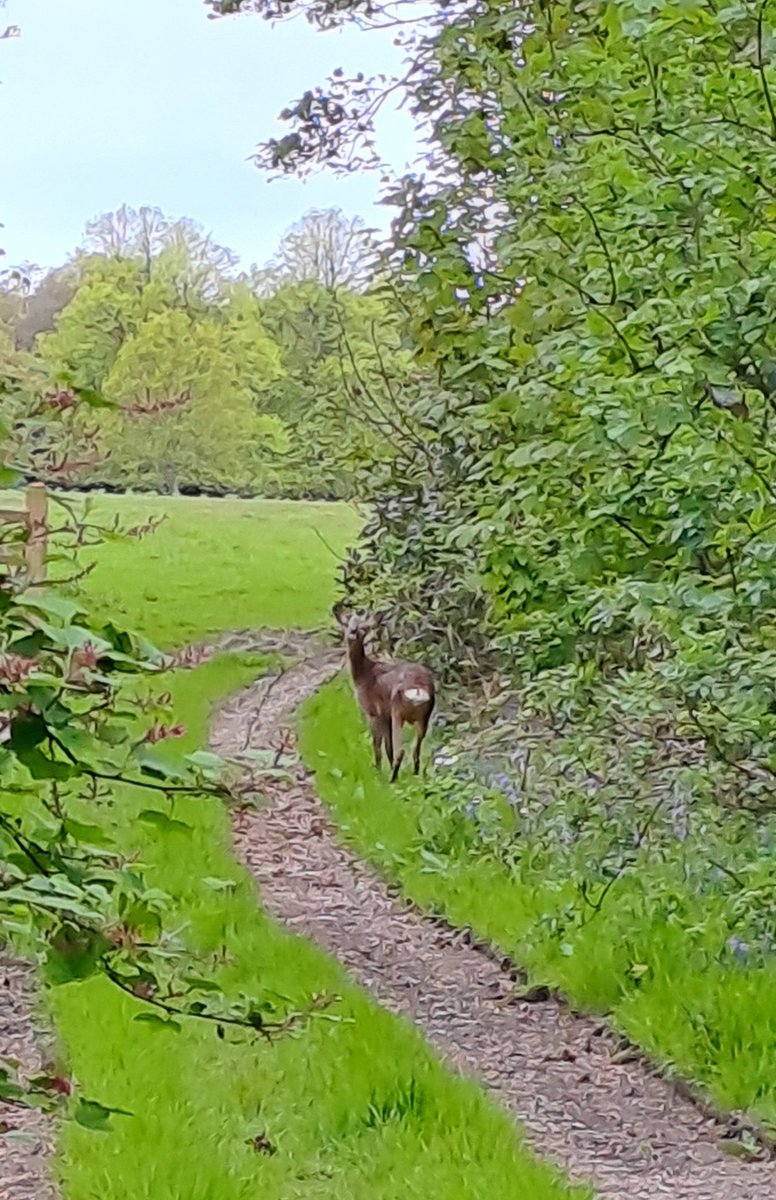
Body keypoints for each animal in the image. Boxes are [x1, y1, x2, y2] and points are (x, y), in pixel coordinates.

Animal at [331, 604, 434, 782]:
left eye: (364, 627)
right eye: (348, 623)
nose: (352, 632)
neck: (364, 674)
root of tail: (418, 689)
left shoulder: (374, 713)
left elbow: (379, 747)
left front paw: (378, 773)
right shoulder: (385, 716)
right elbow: (387, 747)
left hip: (398, 711)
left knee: (401, 751)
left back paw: (392, 780)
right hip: (424, 715)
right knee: (416, 751)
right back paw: (414, 776)